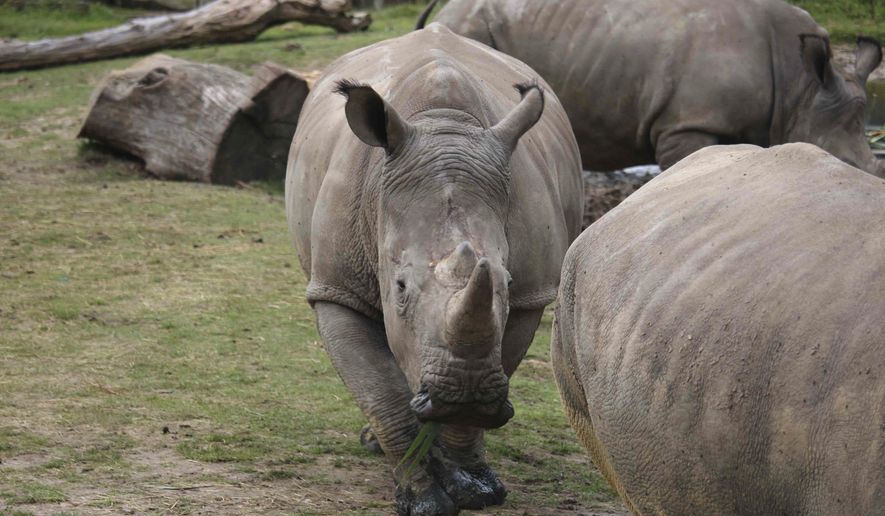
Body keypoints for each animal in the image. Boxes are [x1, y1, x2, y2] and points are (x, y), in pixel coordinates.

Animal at [285, 24, 583, 514]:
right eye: (400, 286)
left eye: (507, 280)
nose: (464, 393)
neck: (443, 126)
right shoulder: (336, 288)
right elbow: (381, 395)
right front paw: (423, 499)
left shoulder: (530, 295)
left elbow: (497, 356)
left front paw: (474, 487)